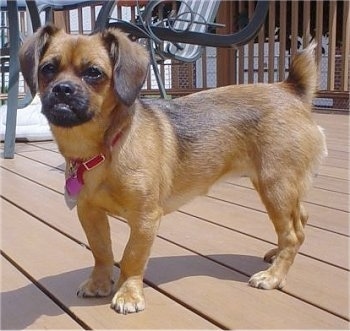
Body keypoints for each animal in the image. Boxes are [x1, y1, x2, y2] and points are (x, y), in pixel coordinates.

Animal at [19, 24, 328, 316]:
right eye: (47, 69)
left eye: (94, 73)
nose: (62, 89)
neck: (103, 150)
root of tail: (291, 89)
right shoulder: (90, 213)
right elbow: (101, 250)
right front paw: (99, 282)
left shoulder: (145, 219)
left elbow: (132, 257)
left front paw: (128, 294)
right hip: (283, 189)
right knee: (300, 221)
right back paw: (277, 254)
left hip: (275, 188)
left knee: (292, 234)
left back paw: (274, 276)